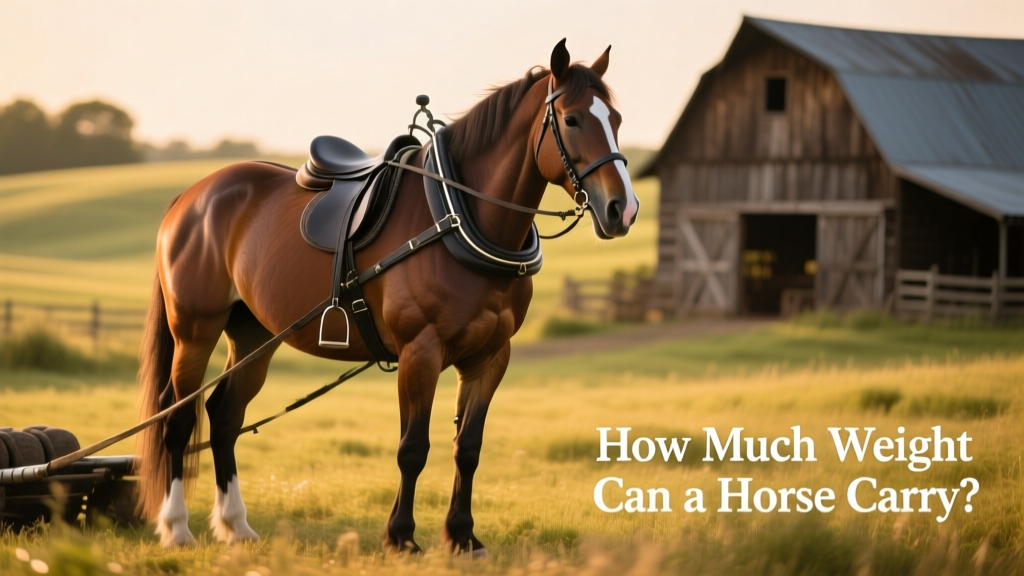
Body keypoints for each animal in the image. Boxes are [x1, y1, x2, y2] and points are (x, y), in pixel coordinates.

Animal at [135, 39, 639, 554]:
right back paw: (176, 528)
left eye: (616, 119)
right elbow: (412, 449)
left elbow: (468, 449)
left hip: (255, 336)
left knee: (224, 416)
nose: (623, 209)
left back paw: (236, 525)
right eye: (572, 119)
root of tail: (193, 195)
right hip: (195, 330)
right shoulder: (421, 351)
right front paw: (401, 536)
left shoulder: (490, 356)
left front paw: (462, 535)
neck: (456, 217)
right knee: (177, 420)